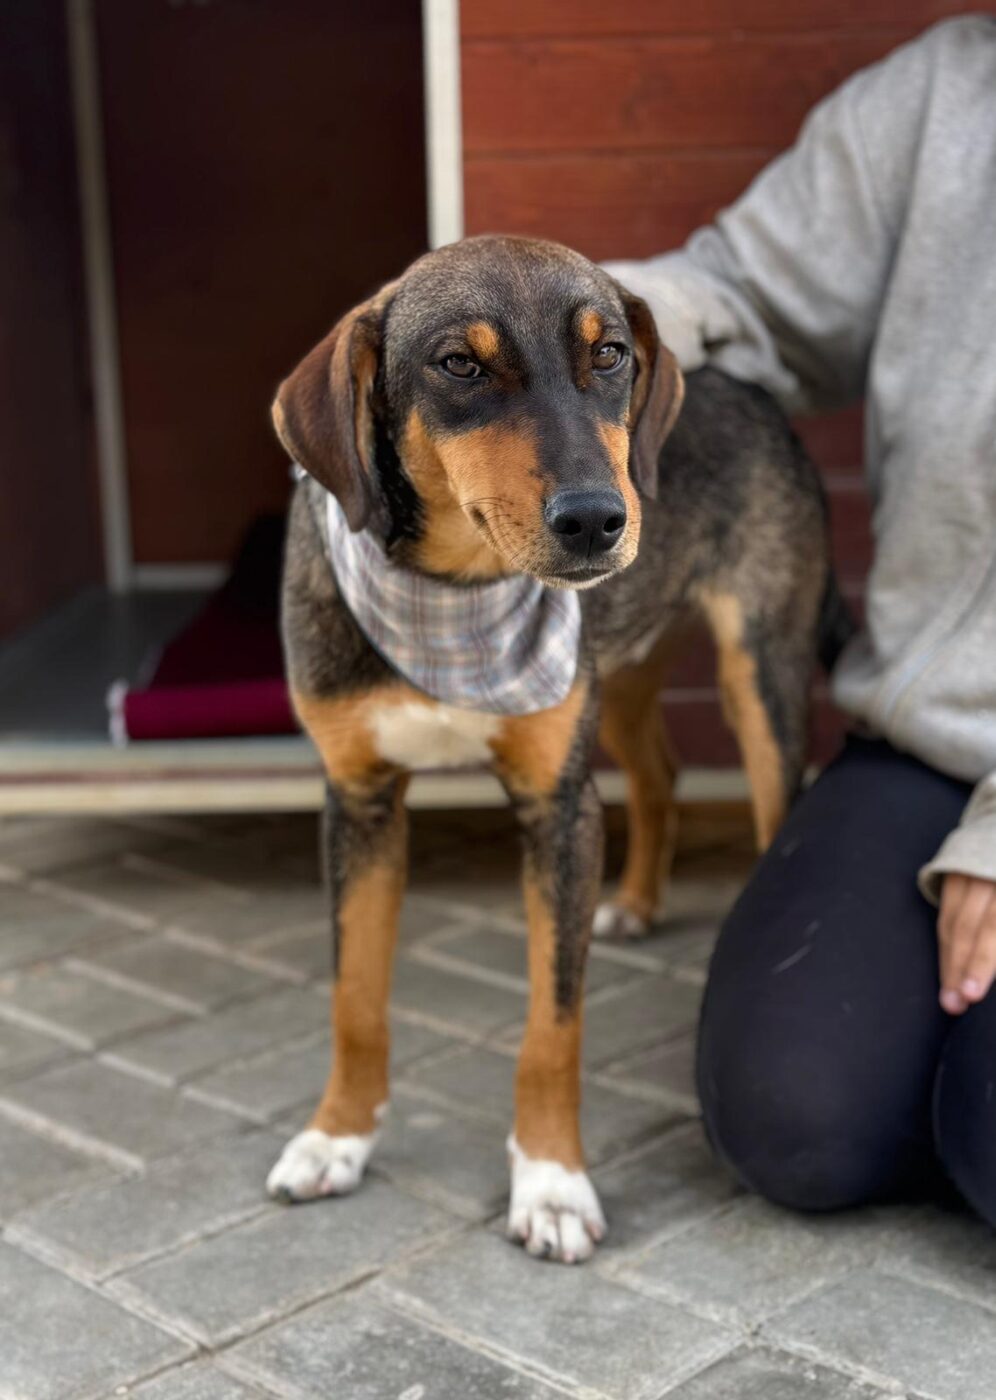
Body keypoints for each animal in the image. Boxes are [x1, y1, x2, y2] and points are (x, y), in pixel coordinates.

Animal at [264, 235, 844, 1263]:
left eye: (608, 354)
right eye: (459, 365)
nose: (596, 520)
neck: (454, 592)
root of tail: (747, 387)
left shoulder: (558, 808)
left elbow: (553, 1026)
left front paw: (551, 1183)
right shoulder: (359, 800)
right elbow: (355, 997)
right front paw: (339, 1136)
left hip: (759, 668)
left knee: (767, 793)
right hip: (619, 668)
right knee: (659, 773)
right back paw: (639, 902)